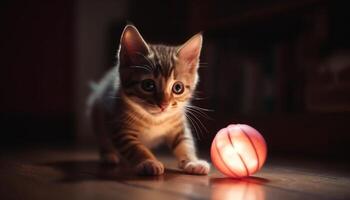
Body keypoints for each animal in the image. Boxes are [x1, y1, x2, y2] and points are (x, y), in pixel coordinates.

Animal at [87, 24, 211, 175]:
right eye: (148, 85)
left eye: (178, 88)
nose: (164, 105)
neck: (154, 120)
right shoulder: (119, 126)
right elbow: (135, 148)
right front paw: (148, 161)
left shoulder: (179, 125)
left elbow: (185, 142)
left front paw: (192, 161)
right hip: (97, 113)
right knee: (103, 139)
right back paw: (109, 155)